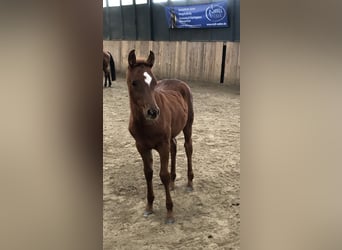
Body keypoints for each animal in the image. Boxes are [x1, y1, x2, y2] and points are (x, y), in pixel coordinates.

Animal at [126, 49, 195, 224]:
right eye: (134, 82)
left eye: (154, 82)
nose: (153, 112)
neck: (146, 124)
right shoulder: (142, 147)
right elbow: (148, 173)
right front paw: (149, 206)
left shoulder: (162, 145)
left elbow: (163, 174)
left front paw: (170, 213)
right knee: (174, 147)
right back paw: (172, 183)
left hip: (188, 126)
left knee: (188, 148)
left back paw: (190, 182)